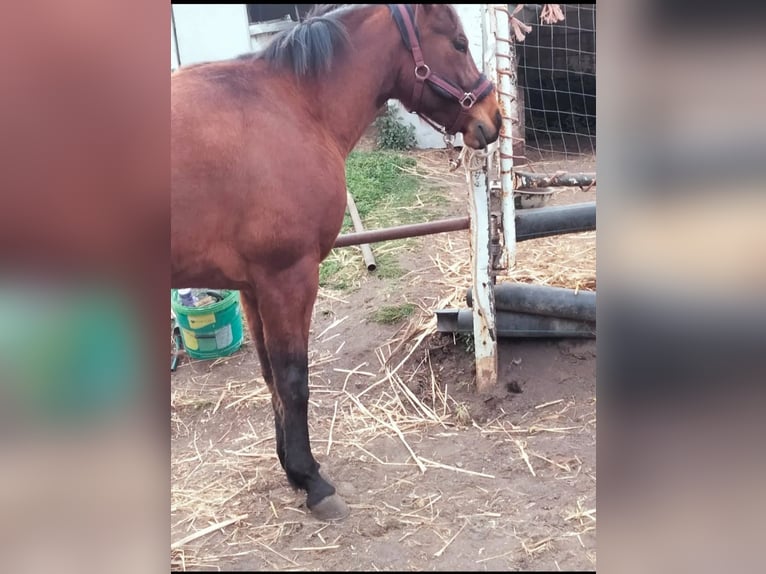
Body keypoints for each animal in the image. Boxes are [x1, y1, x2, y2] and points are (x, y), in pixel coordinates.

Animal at [171, 4, 501, 521]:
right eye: (459, 44)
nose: (494, 119)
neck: (291, 106)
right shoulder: (288, 278)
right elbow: (293, 379)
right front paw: (312, 480)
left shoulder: (251, 286)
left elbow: (270, 375)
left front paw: (290, 469)